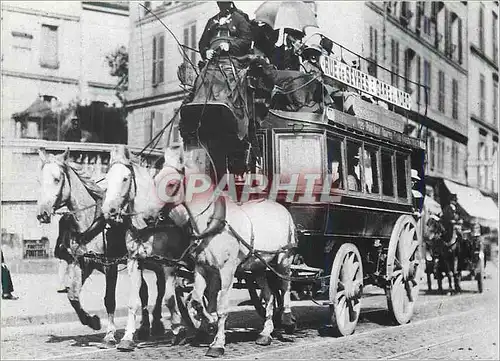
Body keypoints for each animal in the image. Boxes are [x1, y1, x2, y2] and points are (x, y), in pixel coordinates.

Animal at [157, 145, 296, 356]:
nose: (151, 213)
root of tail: (281, 208)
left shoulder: (227, 270)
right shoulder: (202, 268)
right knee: (269, 295)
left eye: (172, 183)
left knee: (285, 285)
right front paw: (209, 322)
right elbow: (196, 300)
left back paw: (287, 319)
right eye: (156, 177)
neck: (212, 222)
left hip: (283, 259)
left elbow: (222, 307)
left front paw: (218, 343)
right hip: (259, 267)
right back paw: (265, 333)